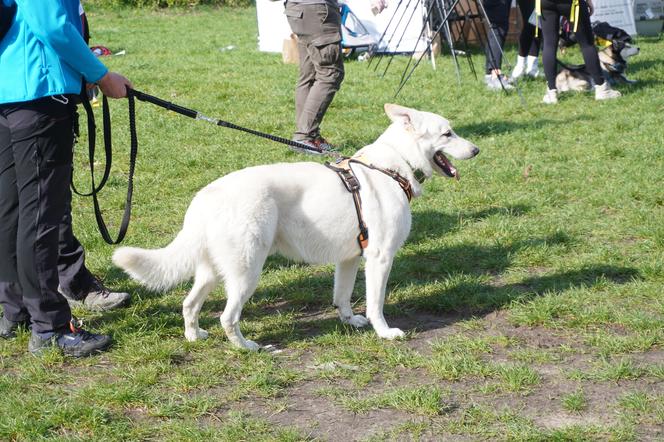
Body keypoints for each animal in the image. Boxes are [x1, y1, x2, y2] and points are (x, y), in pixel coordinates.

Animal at [111, 105, 480, 350]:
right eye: (448, 133)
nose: (477, 150)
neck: (393, 166)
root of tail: (205, 195)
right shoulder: (380, 258)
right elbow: (376, 304)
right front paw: (384, 332)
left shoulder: (349, 259)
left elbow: (342, 296)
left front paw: (350, 321)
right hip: (247, 271)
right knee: (227, 317)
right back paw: (247, 348)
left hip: (214, 270)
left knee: (189, 305)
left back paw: (194, 337)